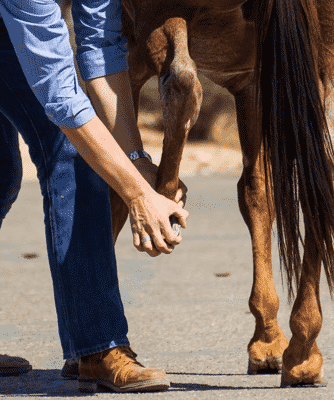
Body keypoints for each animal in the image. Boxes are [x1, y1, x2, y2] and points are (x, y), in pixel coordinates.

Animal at [58, 0, 334, 388]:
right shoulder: (251, 81)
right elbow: (257, 193)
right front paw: (268, 340)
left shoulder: (127, 45)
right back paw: (303, 352)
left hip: (153, 22)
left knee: (182, 83)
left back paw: (165, 196)